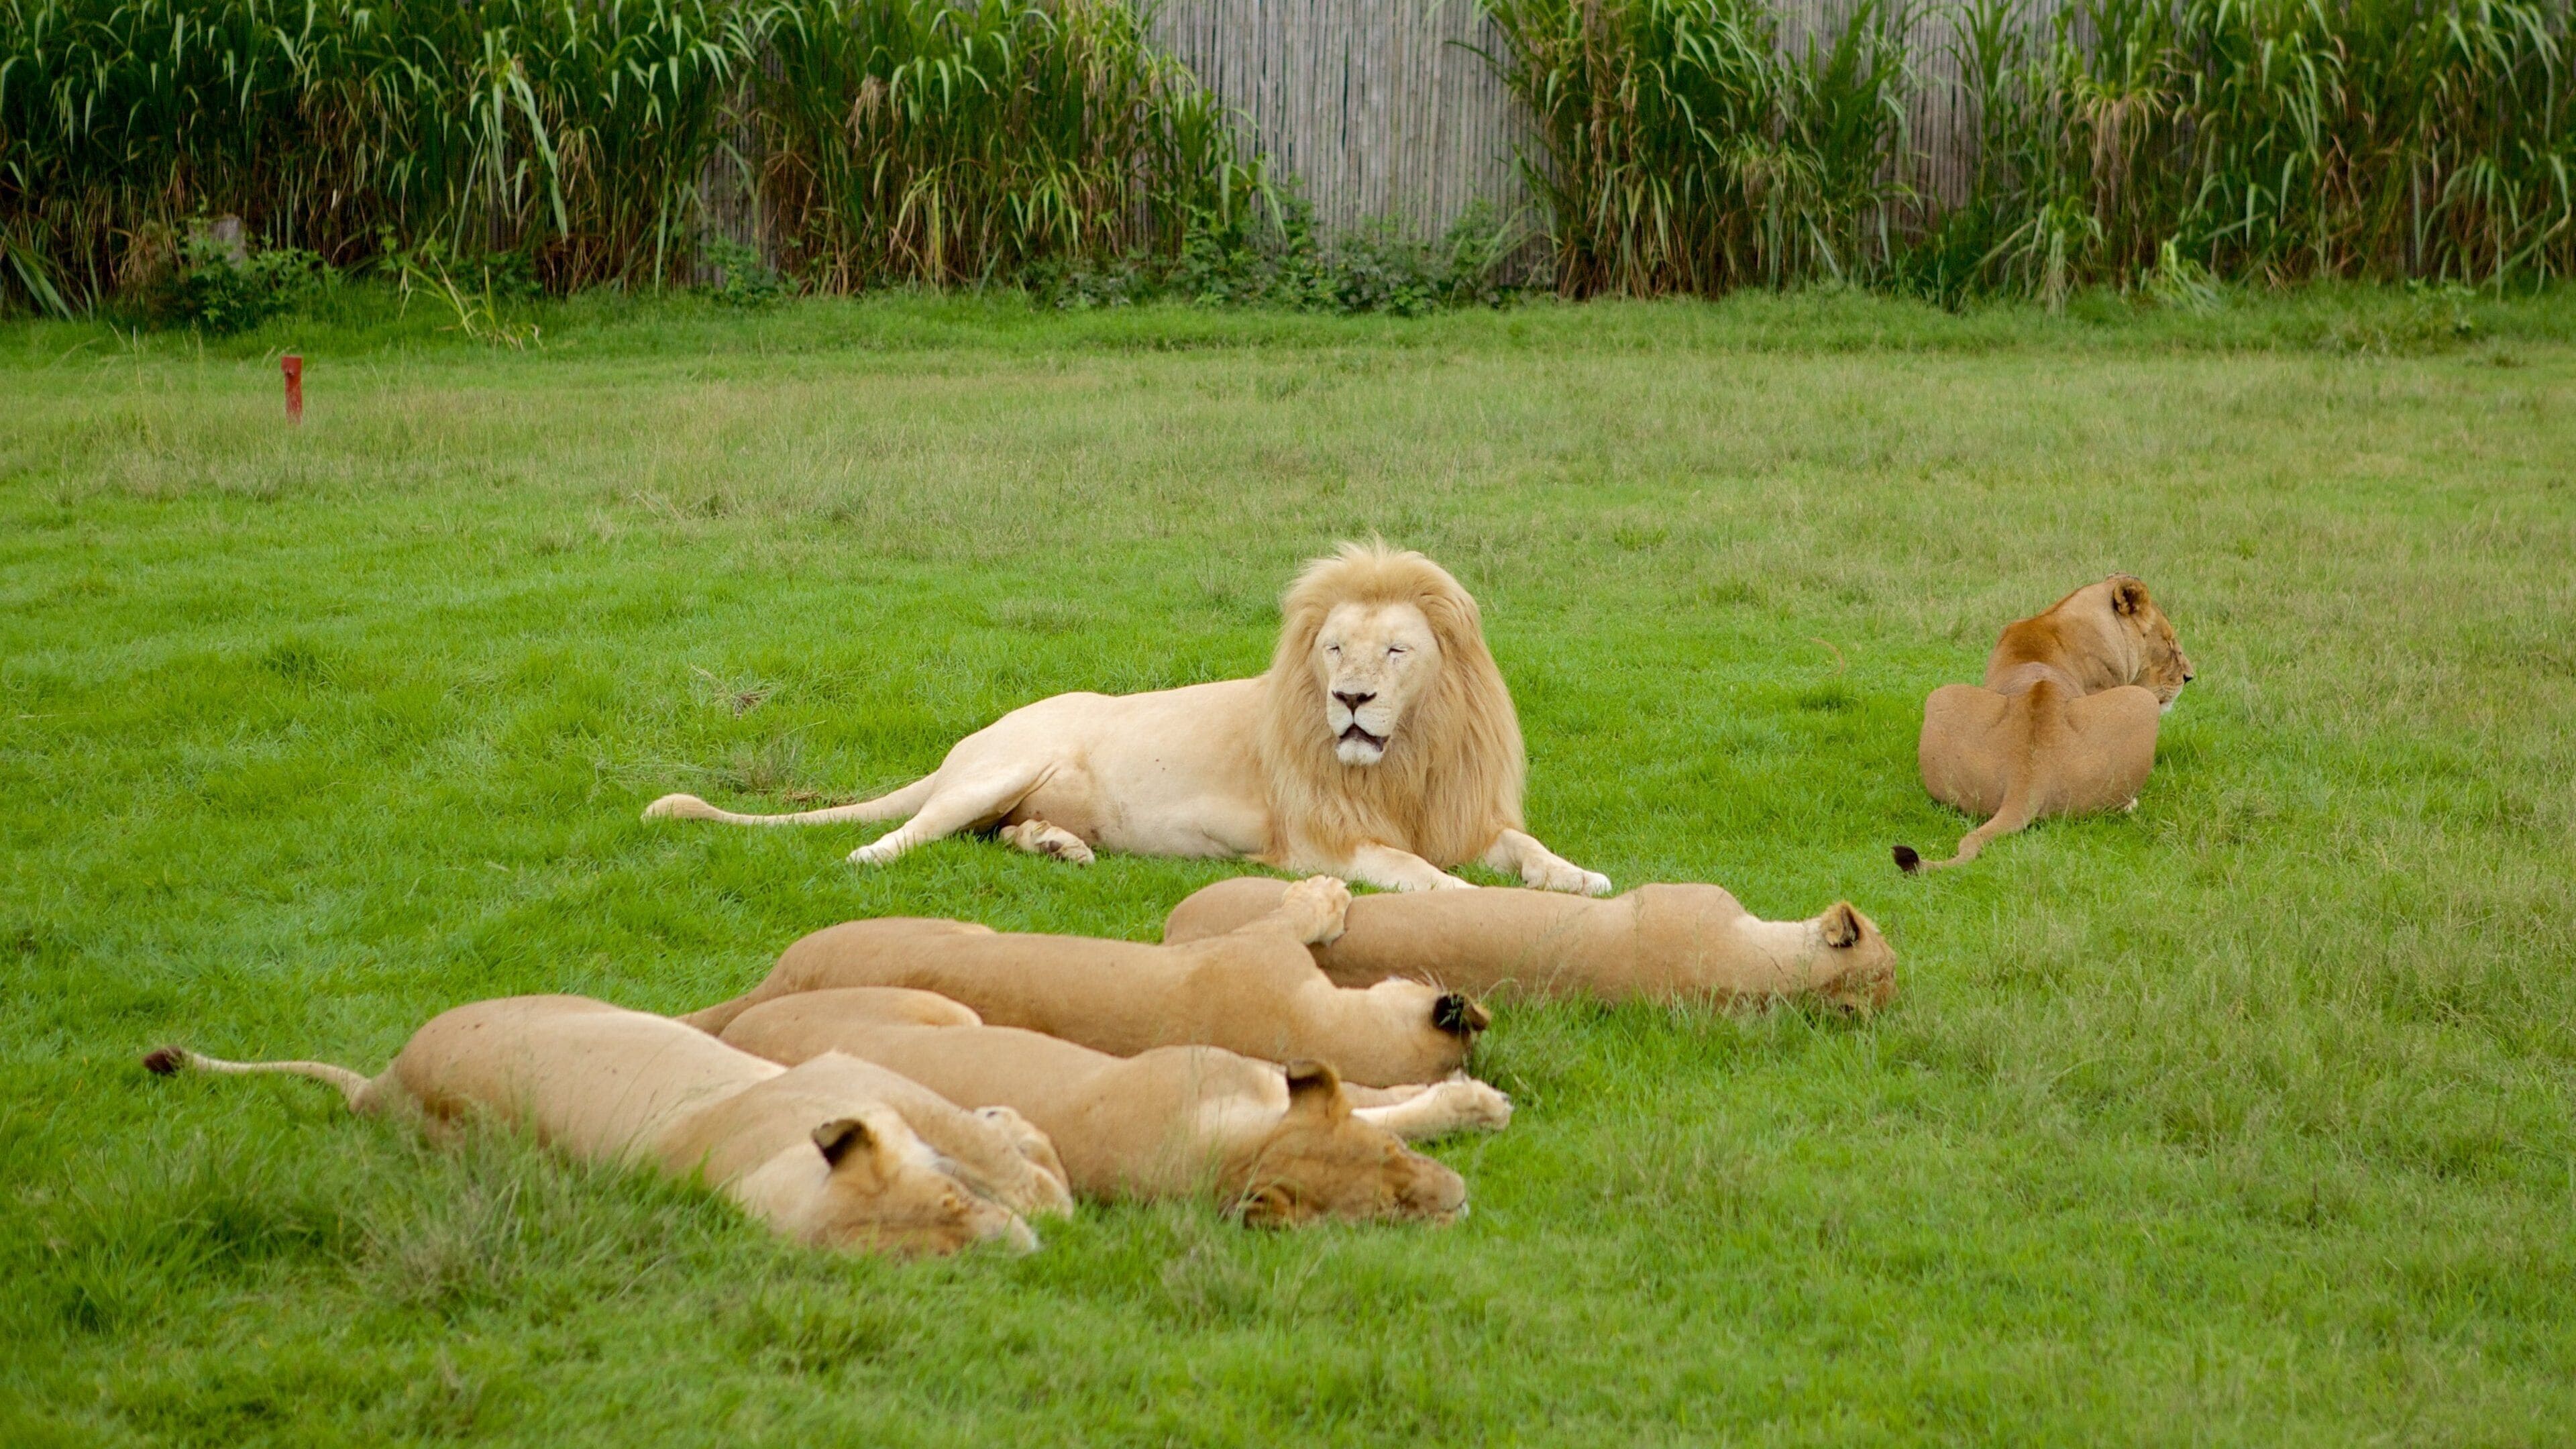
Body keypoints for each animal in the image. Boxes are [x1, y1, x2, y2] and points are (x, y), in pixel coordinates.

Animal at [144, 994, 1064, 1256]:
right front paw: (1043, 1186)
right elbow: (1010, 1159)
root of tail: (382, 1087)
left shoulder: (857, 1082)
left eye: (949, 1207)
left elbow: (978, 1137)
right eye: (936, 1261)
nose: (1019, 1257)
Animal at [643, 542, 1610, 895]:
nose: (1351, 700)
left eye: (1396, 653)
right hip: (1002, 768)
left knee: (993, 834)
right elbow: (1422, 875)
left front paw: (1582, 878)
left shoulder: (1462, 814)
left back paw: (1057, 847)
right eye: (1336, 650)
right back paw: (873, 856)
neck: (1406, 759)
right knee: (912, 830)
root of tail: (968, 742)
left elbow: (1527, 851)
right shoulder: (1321, 847)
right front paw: (1475, 904)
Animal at [717, 986, 1503, 1226]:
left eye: (1398, 1163)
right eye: (1386, 1217)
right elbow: (1377, 1102)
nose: (1461, 1198)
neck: (1221, 1150)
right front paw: (1476, 1104)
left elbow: (1369, 1103)